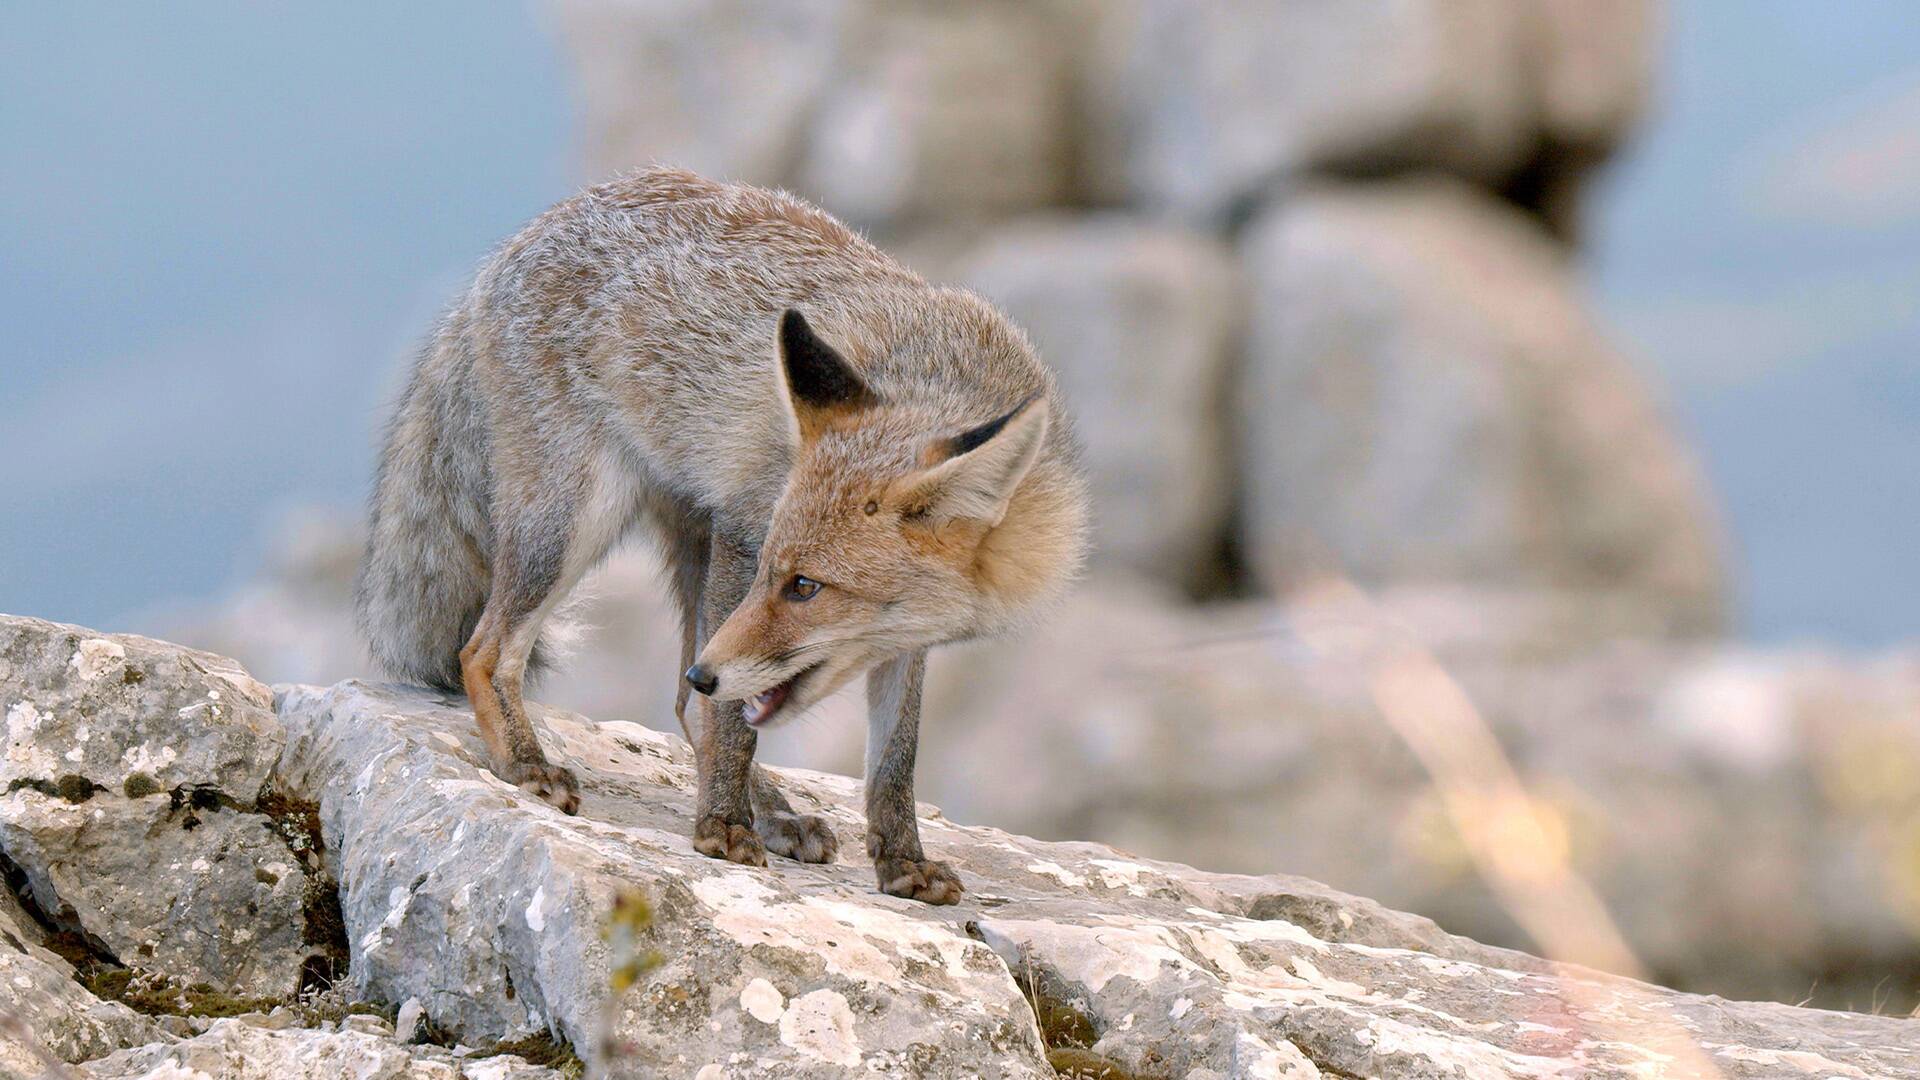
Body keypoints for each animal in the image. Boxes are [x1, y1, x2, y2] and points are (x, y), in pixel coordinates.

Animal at [353, 166, 1090, 899]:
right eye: (777, 574)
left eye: (806, 587)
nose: (709, 671)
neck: (932, 377)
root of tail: (510, 249)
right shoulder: (742, 528)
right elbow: (734, 721)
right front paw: (723, 826)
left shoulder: (905, 638)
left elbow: (893, 759)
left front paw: (901, 860)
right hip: (576, 520)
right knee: (487, 651)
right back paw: (527, 761)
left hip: (684, 545)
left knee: (683, 702)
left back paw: (773, 807)